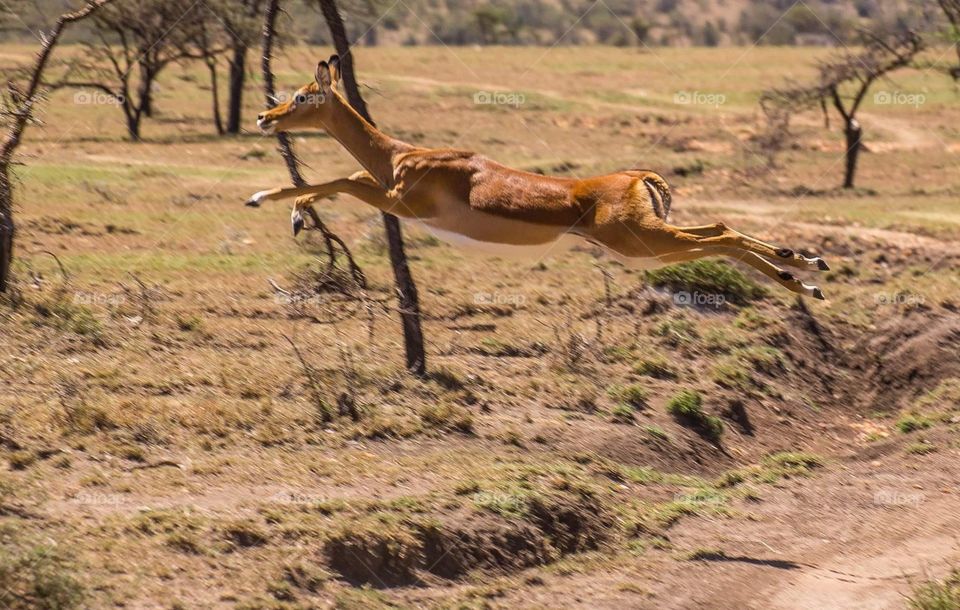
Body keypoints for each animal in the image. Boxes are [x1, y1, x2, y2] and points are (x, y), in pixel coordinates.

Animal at [247, 55, 829, 299]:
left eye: (302, 96)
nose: (263, 117)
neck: (399, 155)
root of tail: (640, 176)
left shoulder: (398, 200)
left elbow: (338, 180)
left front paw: (262, 196)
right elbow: (337, 178)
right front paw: (295, 216)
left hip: (641, 242)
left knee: (723, 238)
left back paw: (802, 279)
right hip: (649, 240)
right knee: (721, 228)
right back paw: (806, 267)